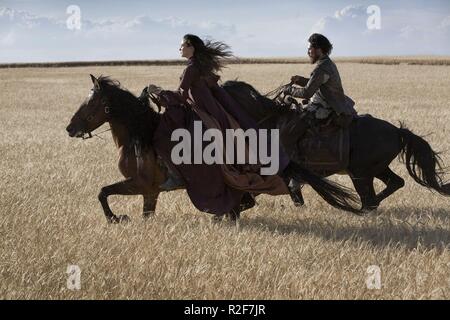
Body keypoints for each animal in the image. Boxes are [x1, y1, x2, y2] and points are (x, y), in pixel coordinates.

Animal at [66, 74, 362, 222]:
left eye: (91, 103)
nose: (70, 128)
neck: (141, 136)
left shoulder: (140, 184)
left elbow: (103, 192)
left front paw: (115, 218)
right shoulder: (150, 191)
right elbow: (141, 213)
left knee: (250, 199)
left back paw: (223, 216)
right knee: (249, 200)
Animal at [223, 80, 450, 211]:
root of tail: (397, 131)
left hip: (360, 174)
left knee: (370, 198)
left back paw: (363, 209)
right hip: (377, 170)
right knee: (395, 183)